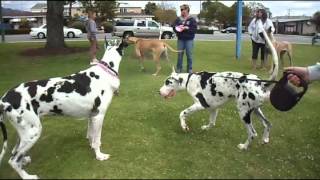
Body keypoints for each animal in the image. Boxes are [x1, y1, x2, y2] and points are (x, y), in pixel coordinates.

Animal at [0, 39, 127, 179]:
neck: (105, 72)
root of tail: (5, 99)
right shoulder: (99, 116)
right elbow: (97, 140)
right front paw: (99, 156)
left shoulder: (92, 116)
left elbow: (91, 135)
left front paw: (91, 146)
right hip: (33, 132)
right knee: (13, 160)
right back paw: (27, 176)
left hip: (24, 131)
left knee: (15, 151)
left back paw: (24, 161)